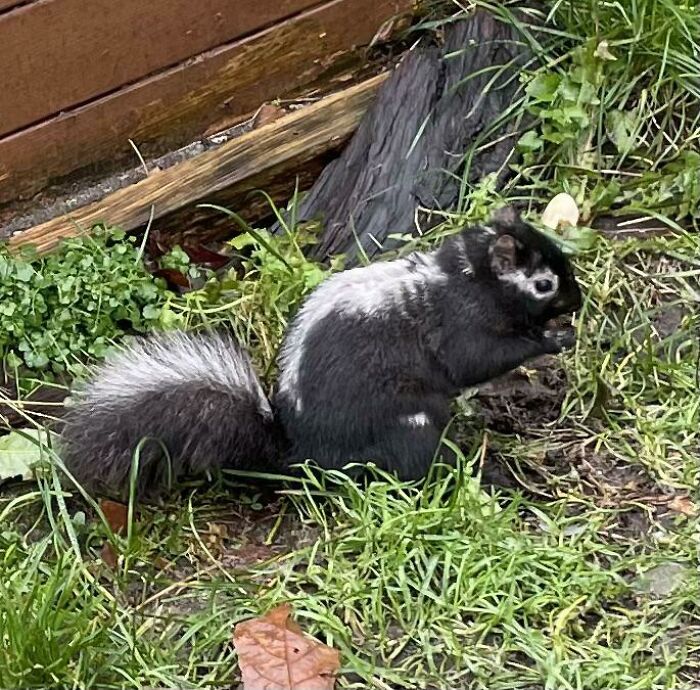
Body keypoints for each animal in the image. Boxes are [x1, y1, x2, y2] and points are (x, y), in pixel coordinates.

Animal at [58, 207, 582, 500]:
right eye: (544, 283)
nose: (577, 300)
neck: (462, 274)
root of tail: (302, 455)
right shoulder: (456, 321)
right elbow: (476, 358)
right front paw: (551, 339)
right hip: (402, 424)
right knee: (415, 459)